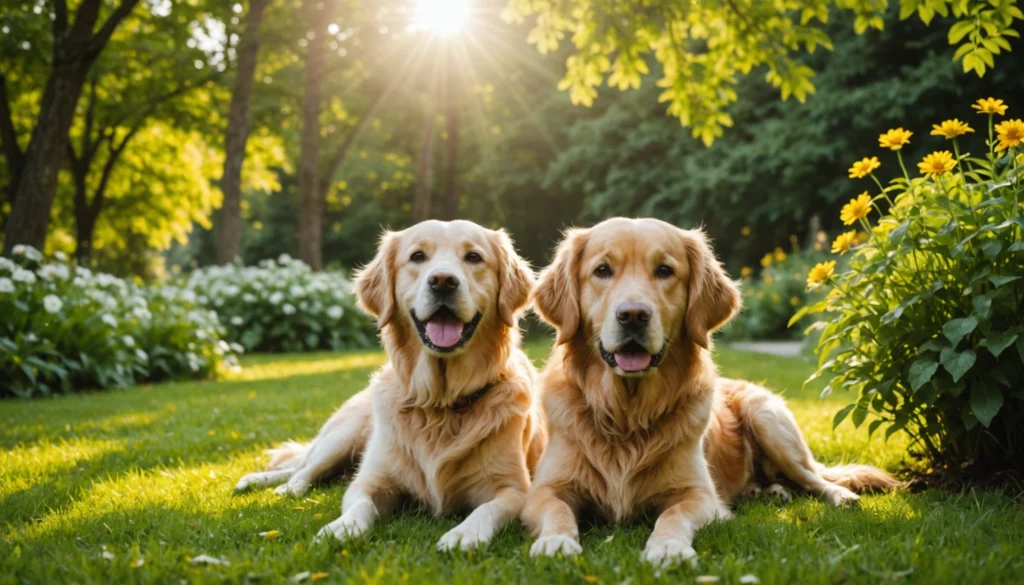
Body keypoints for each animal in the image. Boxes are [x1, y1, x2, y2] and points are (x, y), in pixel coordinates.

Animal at [236, 221, 548, 553]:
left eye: (474, 257)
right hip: (343, 436)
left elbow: (487, 508)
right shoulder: (369, 481)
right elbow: (361, 504)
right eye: (417, 256)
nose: (443, 282)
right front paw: (341, 528)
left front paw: (465, 533)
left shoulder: (514, 489)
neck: (442, 402)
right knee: (303, 468)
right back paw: (276, 484)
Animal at [524, 217, 892, 565]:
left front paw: (668, 546)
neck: (627, 414)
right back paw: (767, 492)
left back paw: (838, 496)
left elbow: (673, 514)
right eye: (602, 270)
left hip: (769, 420)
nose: (633, 315)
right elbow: (558, 510)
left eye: (664, 270)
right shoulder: (545, 490)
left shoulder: (699, 495)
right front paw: (556, 541)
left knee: (814, 477)